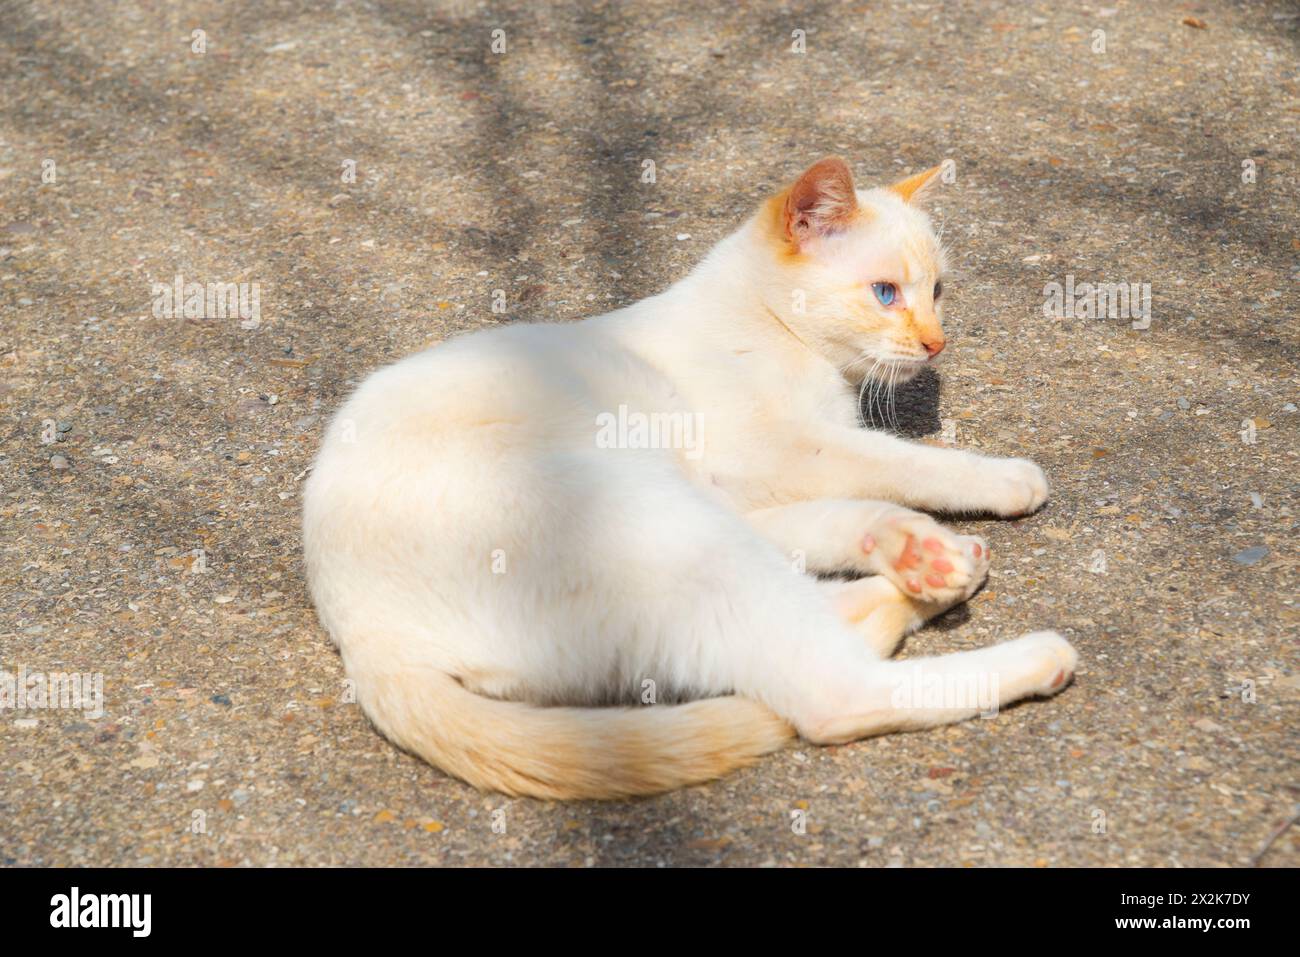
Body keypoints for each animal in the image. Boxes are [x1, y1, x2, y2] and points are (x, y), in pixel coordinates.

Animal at [301, 158, 1076, 800]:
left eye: (938, 292)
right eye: (886, 293)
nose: (937, 343)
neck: (780, 334)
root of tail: (364, 632)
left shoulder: (745, 488)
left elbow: (836, 511)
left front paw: (908, 541)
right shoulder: (777, 452)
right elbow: (899, 461)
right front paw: (1002, 478)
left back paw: (929, 564)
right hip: (661, 521)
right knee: (830, 693)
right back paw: (1023, 645)